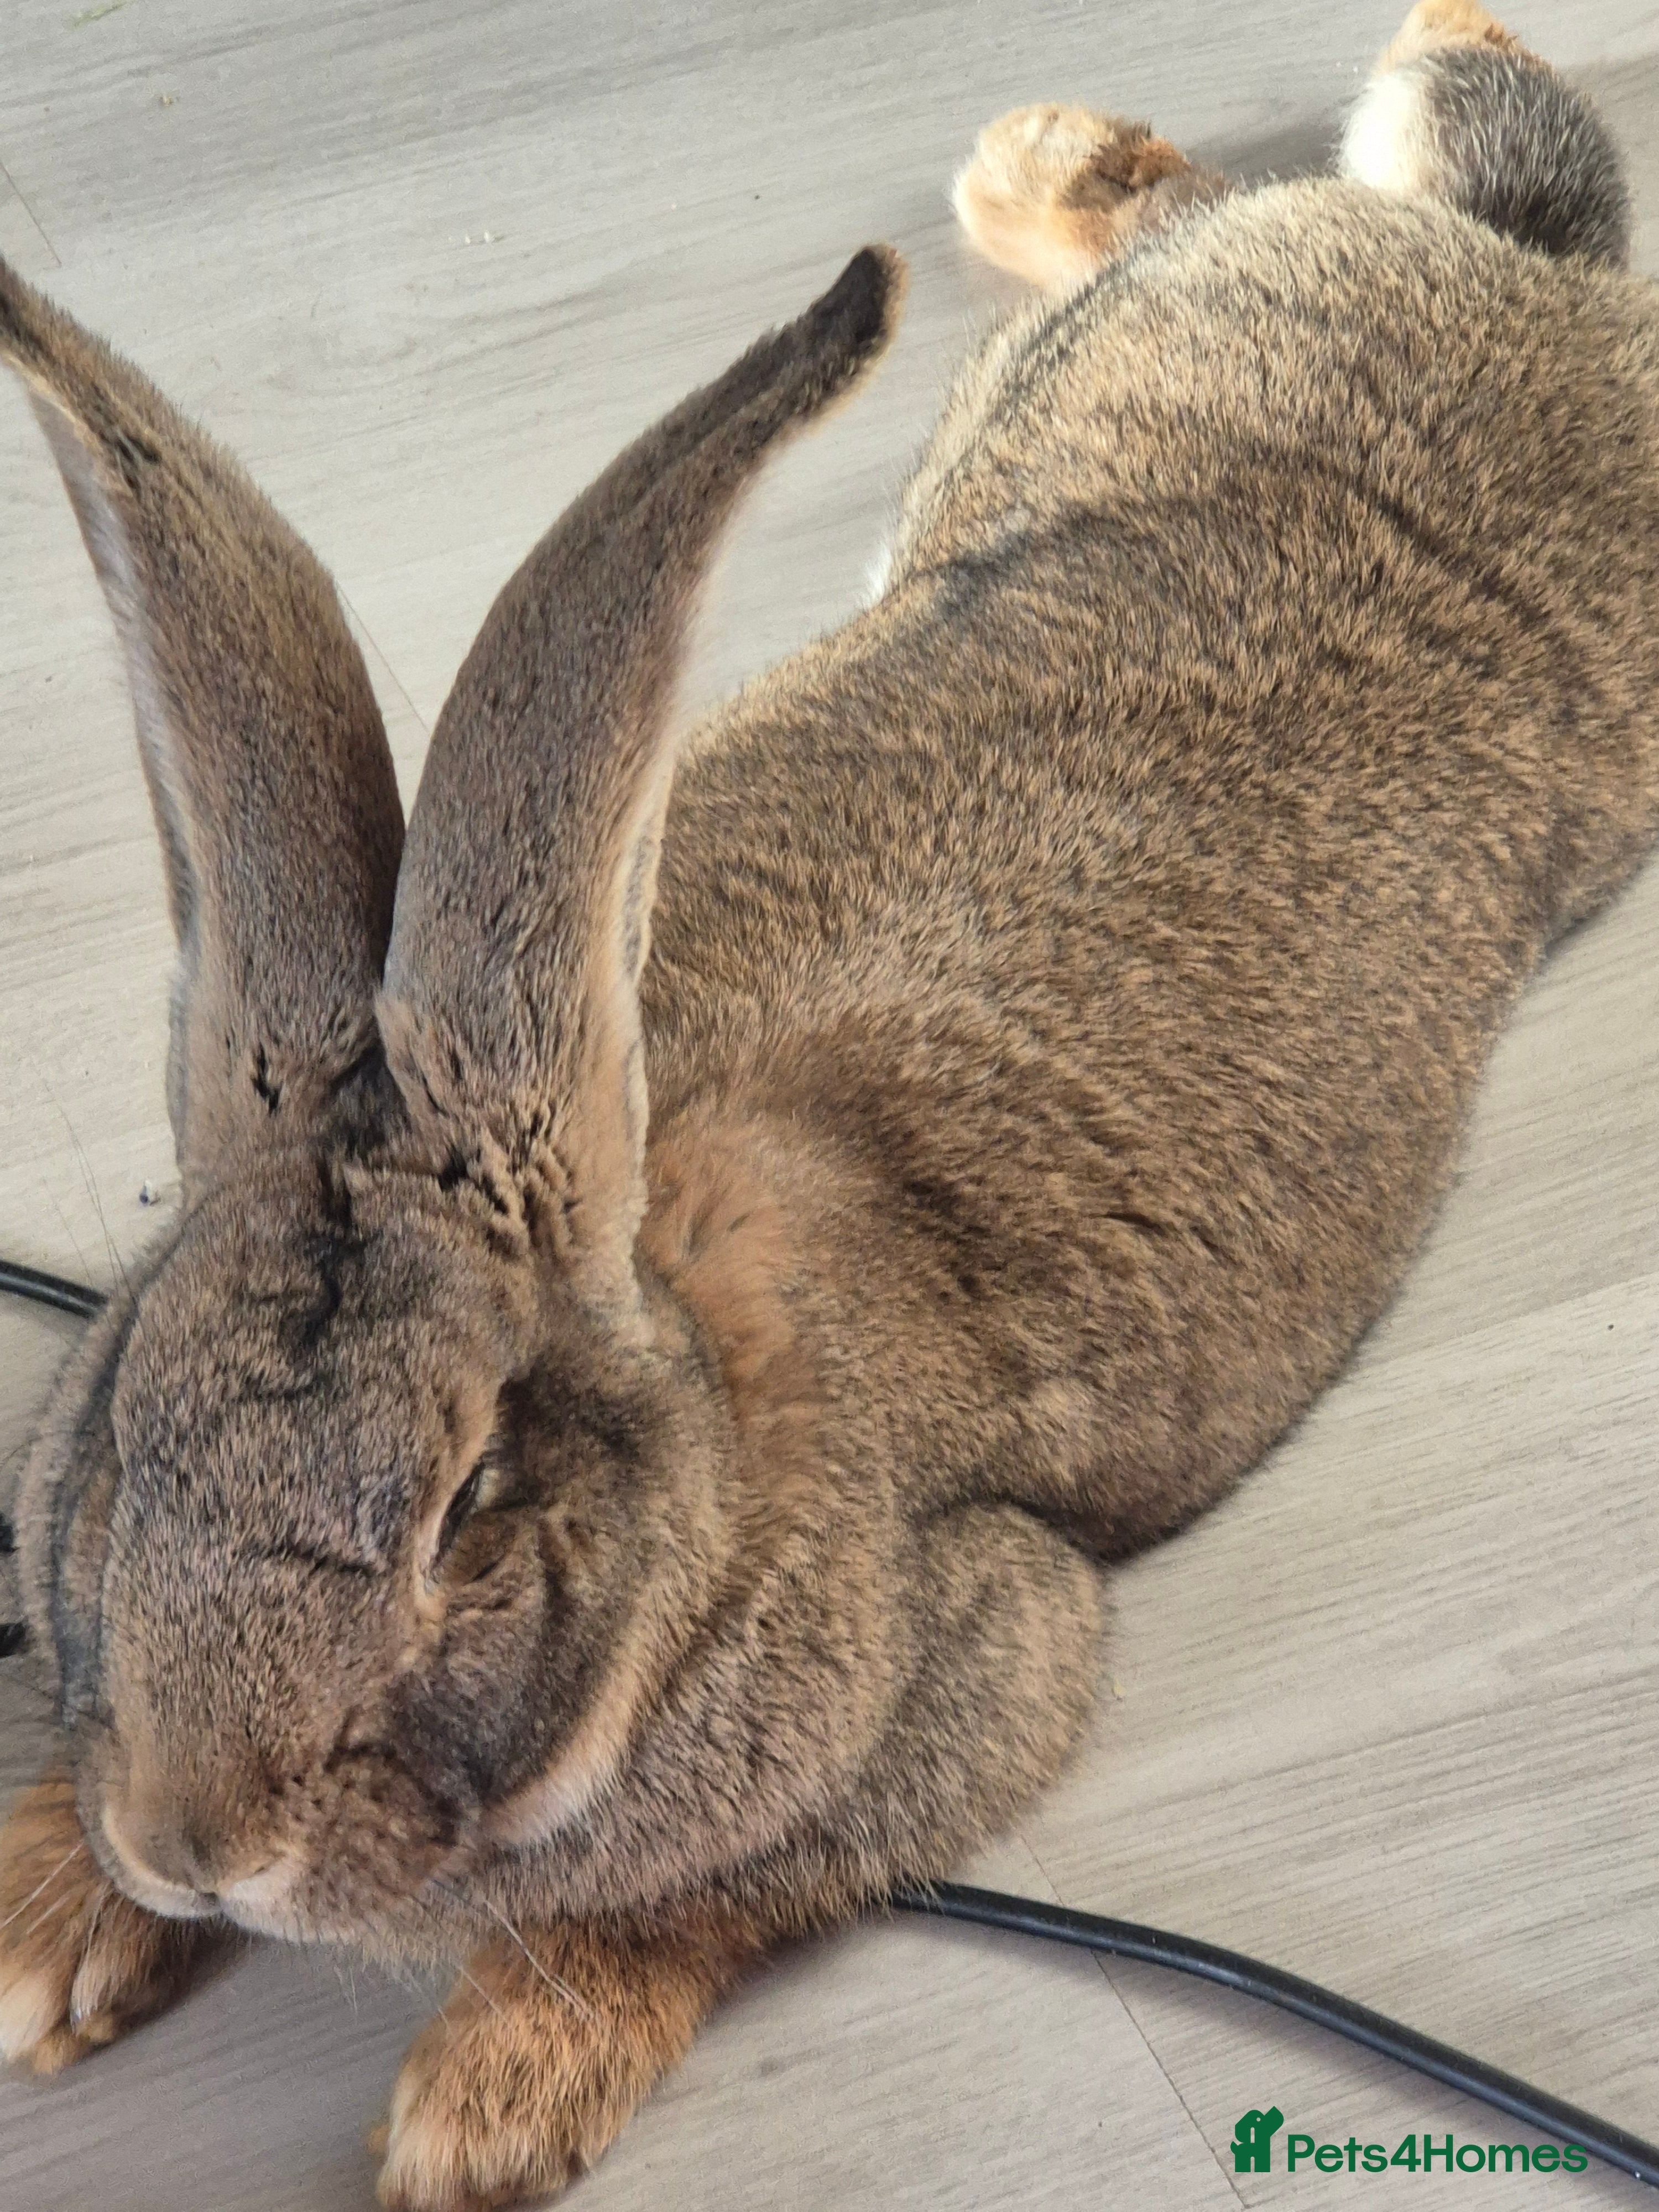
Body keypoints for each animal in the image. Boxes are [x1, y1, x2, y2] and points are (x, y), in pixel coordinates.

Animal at [1, 1, 1656, 2203]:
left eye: (470, 1501)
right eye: (118, 1433)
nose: (199, 1838)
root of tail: (1528, 298)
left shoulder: (978, 1656)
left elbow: (701, 1903)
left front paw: (479, 2107)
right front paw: (45, 1923)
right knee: (1233, 189)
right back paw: (1043, 155)